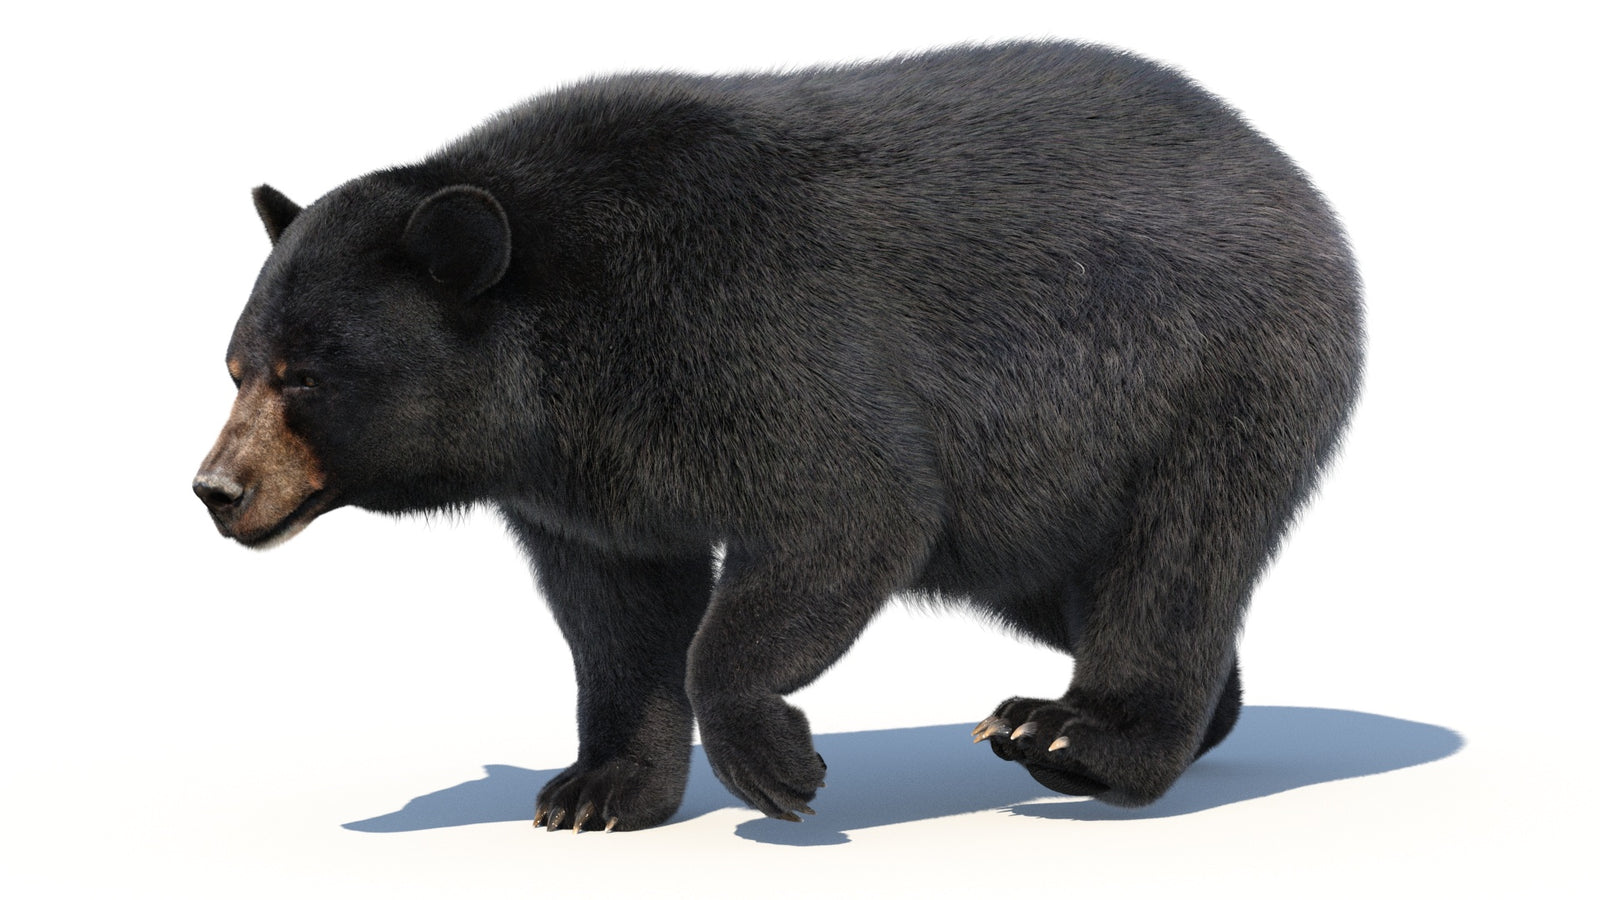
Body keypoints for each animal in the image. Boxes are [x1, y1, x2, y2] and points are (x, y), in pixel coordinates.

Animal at [194, 41, 1363, 832]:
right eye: (238, 367)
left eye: (308, 376)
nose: (217, 489)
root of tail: (1287, 172)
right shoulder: (585, 476)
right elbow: (619, 611)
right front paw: (599, 790)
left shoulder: (739, 333)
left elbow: (848, 507)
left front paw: (775, 766)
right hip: (1036, 503)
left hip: (1208, 378)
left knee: (1174, 557)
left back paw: (1079, 735)